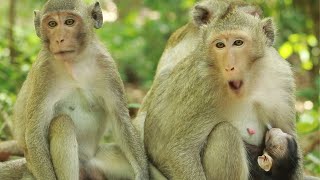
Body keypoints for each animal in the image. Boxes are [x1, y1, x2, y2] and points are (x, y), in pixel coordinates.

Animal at [0, 0, 149, 180]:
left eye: (69, 22)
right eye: (52, 24)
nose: (59, 39)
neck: (75, 63)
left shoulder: (108, 67)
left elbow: (121, 119)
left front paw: (143, 175)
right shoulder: (43, 72)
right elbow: (35, 134)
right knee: (62, 123)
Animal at [132, 1, 304, 180]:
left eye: (238, 43)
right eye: (220, 45)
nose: (229, 66)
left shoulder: (280, 76)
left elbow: (287, 132)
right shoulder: (202, 84)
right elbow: (178, 151)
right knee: (226, 133)